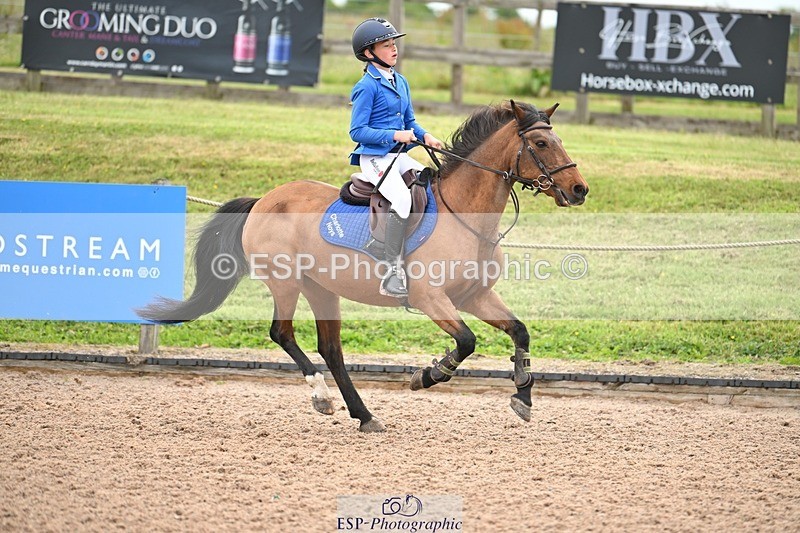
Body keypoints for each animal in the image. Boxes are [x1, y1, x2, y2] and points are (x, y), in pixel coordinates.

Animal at [138, 100, 589, 432]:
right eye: (542, 144)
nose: (579, 190)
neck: (466, 215)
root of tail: (264, 199)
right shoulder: (431, 298)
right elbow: (466, 342)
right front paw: (428, 375)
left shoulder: (475, 296)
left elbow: (520, 331)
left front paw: (523, 395)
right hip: (286, 282)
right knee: (282, 333)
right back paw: (322, 398)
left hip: (321, 288)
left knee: (331, 350)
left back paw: (365, 416)